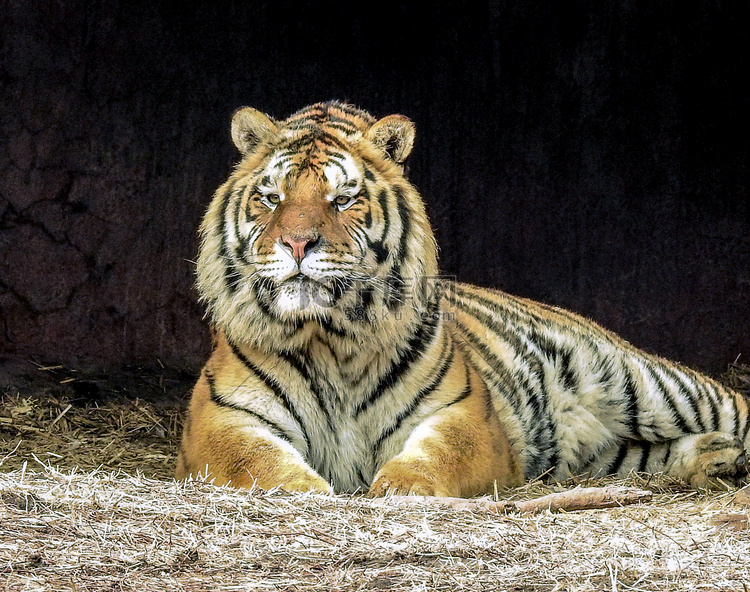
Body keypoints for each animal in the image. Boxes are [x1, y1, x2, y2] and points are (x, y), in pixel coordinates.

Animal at [173, 100, 748, 494]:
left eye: (343, 200)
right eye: (272, 198)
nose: (295, 243)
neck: (329, 337)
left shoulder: (463, 413)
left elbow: (439, 453)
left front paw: (400, 486)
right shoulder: (221, 420)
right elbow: (255, 463)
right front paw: (305, 489)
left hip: (650, 382)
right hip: (608, 453)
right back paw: (716, 459)